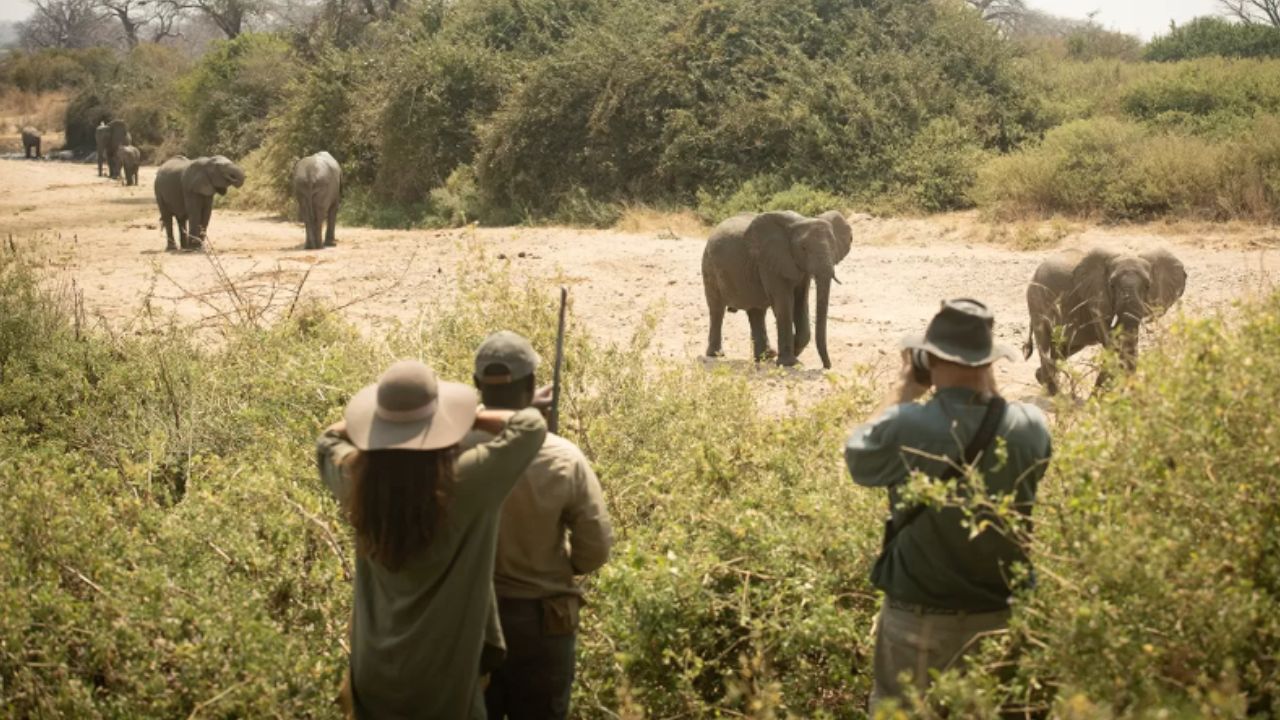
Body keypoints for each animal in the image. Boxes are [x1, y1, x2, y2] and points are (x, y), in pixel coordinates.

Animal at [702, 210, 853, 369]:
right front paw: (789, 362)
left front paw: (794, 353)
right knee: (717, 310)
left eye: (834, 246)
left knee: (756, 312)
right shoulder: (770, 262)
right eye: (803, 248)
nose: (827, 366)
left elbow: (801, 302)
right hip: (709, 266)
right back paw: (716, 354)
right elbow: (784, 304)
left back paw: (765, 357)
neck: (800, 221)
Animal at [1024, 247, 1187, 395]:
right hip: (1036, 299)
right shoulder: (1096, 298)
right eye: (1111, 285)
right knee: (1044, 341)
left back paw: (1044, 381)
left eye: (1148, 286)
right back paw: (1057, 395)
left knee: (1063, 349)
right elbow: (1113, 345)